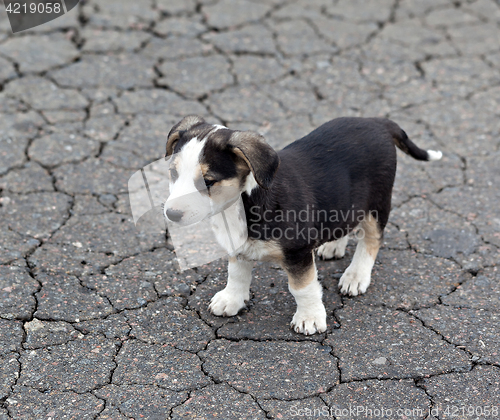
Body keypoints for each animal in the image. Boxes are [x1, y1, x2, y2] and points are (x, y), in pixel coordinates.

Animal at [164, 115, 442, 334]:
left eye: (208, 181)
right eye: (173, 173)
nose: (171, 214)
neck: (241, 204)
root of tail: (378, 122)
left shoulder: (297, 253)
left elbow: (302, 288)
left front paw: (309, 318)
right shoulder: (237, 246)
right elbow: (237, 274)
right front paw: (231, 300)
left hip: (378, 202)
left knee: (371, 240)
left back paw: (356, 276)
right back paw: (333, 246)